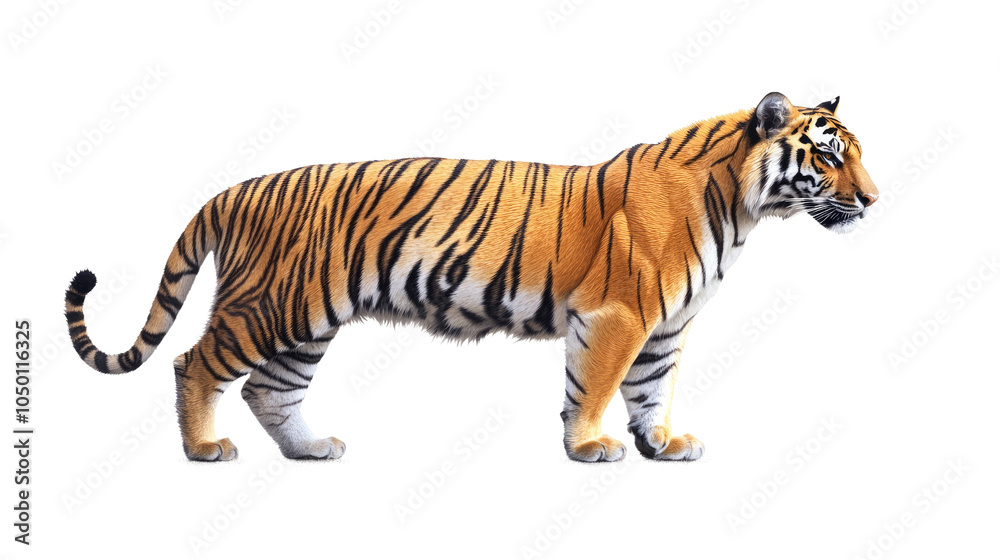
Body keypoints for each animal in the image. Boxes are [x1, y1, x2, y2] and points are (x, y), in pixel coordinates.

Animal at [65, 92, 878, 462]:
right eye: (829, 155)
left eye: (857, 154)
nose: (873, 199)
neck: (743, 207)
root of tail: (235, 190)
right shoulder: (617, 315)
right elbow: (597, 386)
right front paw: (589, 447)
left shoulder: (664, 326)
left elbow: (650, 389)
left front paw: (662, 444)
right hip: (267, 307)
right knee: (192, 364)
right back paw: (205, 450)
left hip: (307, 321)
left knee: (271, 390)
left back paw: (311, 449)